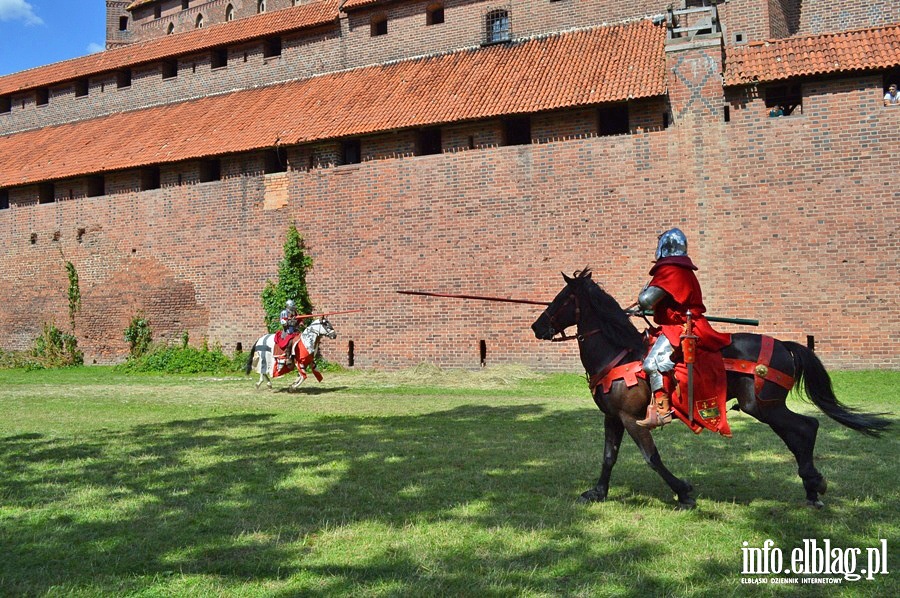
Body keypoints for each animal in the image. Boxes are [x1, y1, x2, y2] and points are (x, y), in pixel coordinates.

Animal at [532, 272, 888, 510]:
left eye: (562, 299)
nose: (538, 326)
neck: (618, 352)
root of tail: (784, 346)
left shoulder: (633, 419)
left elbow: (652, 458)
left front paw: (684, 492)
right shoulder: (614, 417)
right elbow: (609, 456)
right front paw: (597, 492)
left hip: (763, 406)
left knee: (807, 427)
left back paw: (814, 484)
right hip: (766, 408)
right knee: (799, 433)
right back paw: (812, 489)